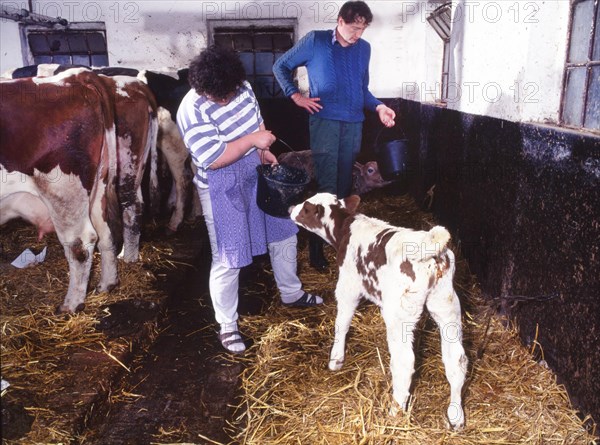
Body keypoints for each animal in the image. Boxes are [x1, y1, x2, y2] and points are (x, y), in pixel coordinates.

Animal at [0, 69, 123, 312]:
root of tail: (75, 75)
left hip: (62, 189)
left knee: (80, 244)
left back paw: (71, 305)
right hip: (98, 188)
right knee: (105, 231)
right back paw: (106, 285)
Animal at [290, 193, 468, 428]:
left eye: (307, 208)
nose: (291, 208)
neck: (346, 227)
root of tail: (428, 248)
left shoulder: (348, 285)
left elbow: (342, 322)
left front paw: (336, 359)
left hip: (399, 315)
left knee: (404, 362)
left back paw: (395, 411)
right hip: (446, 303)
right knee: (457, 358)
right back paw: (456, 415)